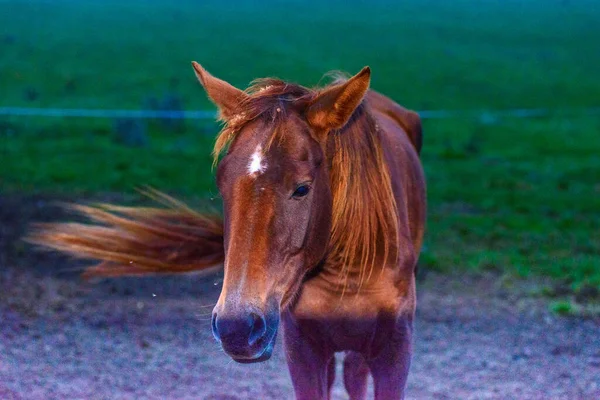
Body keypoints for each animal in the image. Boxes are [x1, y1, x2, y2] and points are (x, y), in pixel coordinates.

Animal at [30, 63, 426, 400]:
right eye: (222, 185)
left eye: (302, 188)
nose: (238, 327)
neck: (343, 270)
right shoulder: (303, 350)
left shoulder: (395, 351)